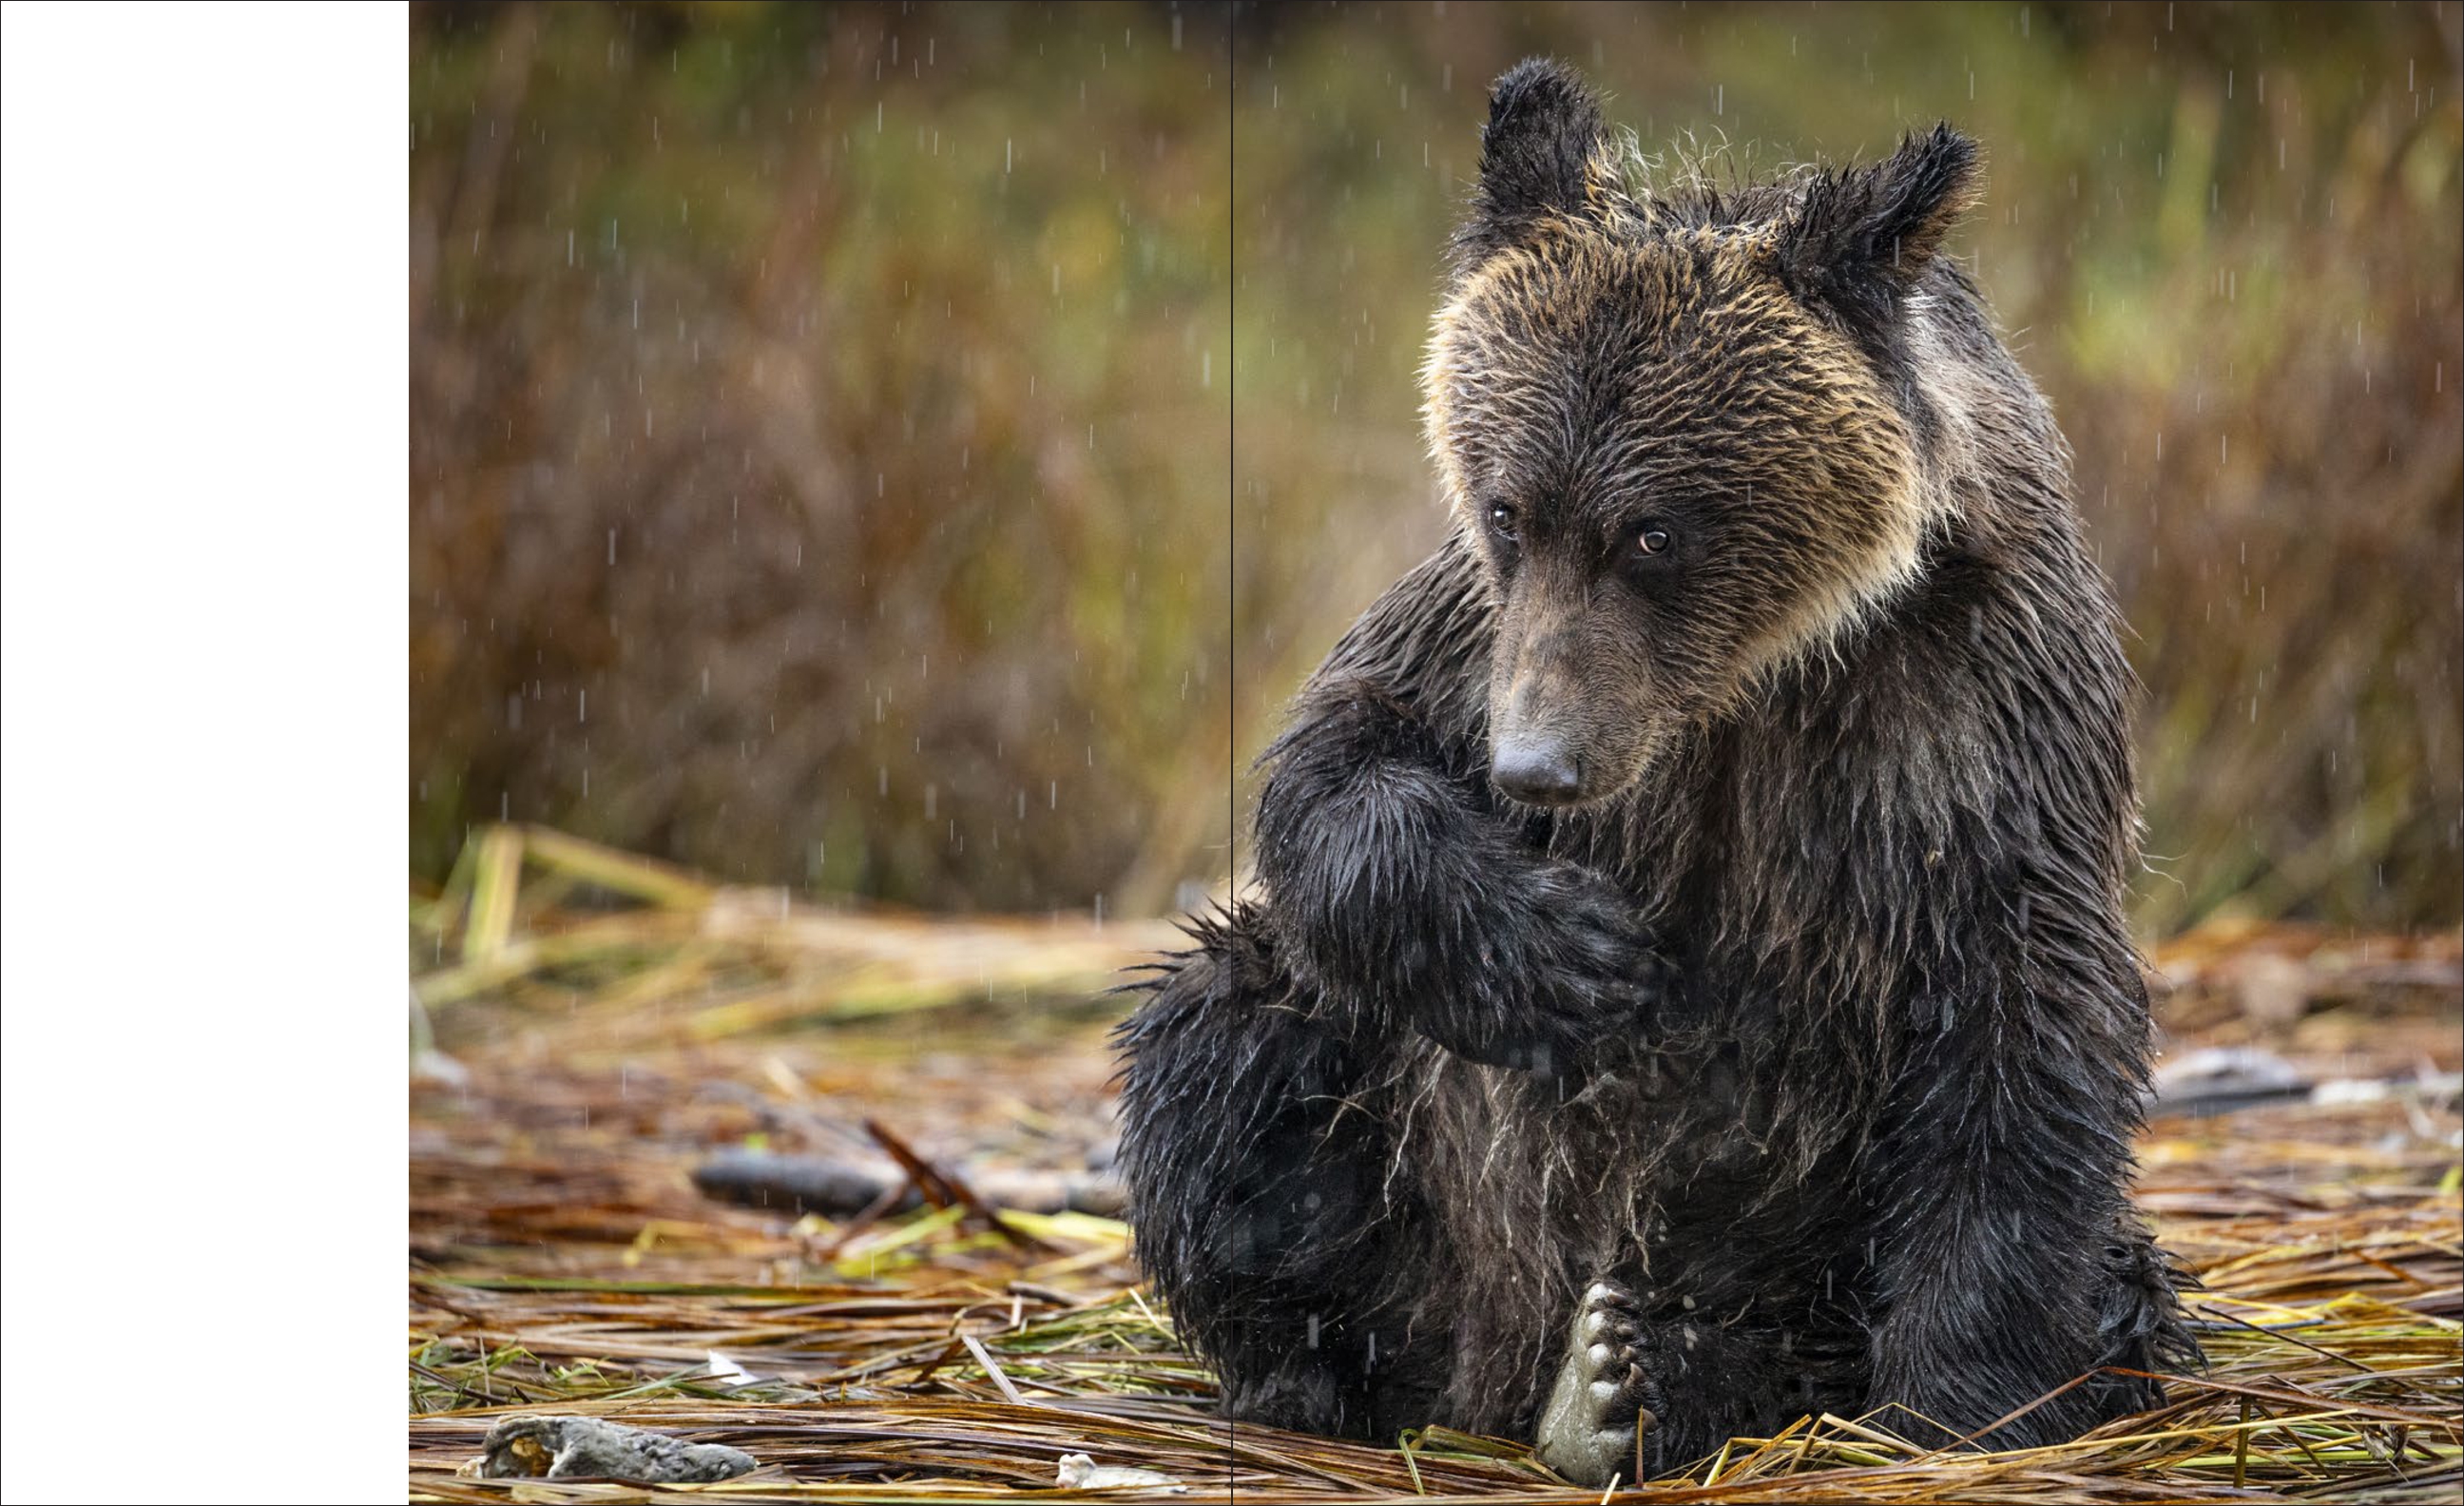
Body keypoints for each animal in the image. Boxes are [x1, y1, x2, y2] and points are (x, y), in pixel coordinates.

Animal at [1113, 59, 2198, 1487]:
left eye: (1656, 531)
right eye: (1510, 507)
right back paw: (1324, 1373)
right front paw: (1567, 950)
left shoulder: (1975, 706)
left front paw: (1961, 1400)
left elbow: (2020, 1020)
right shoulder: (1469, 638)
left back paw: (1637, 1379)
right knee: (1224, 1030)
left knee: (2111, 1285)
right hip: (1409, 1195)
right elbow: (1335, 765)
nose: (1537, 768)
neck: (1754, 680)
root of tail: (1486, 1377)